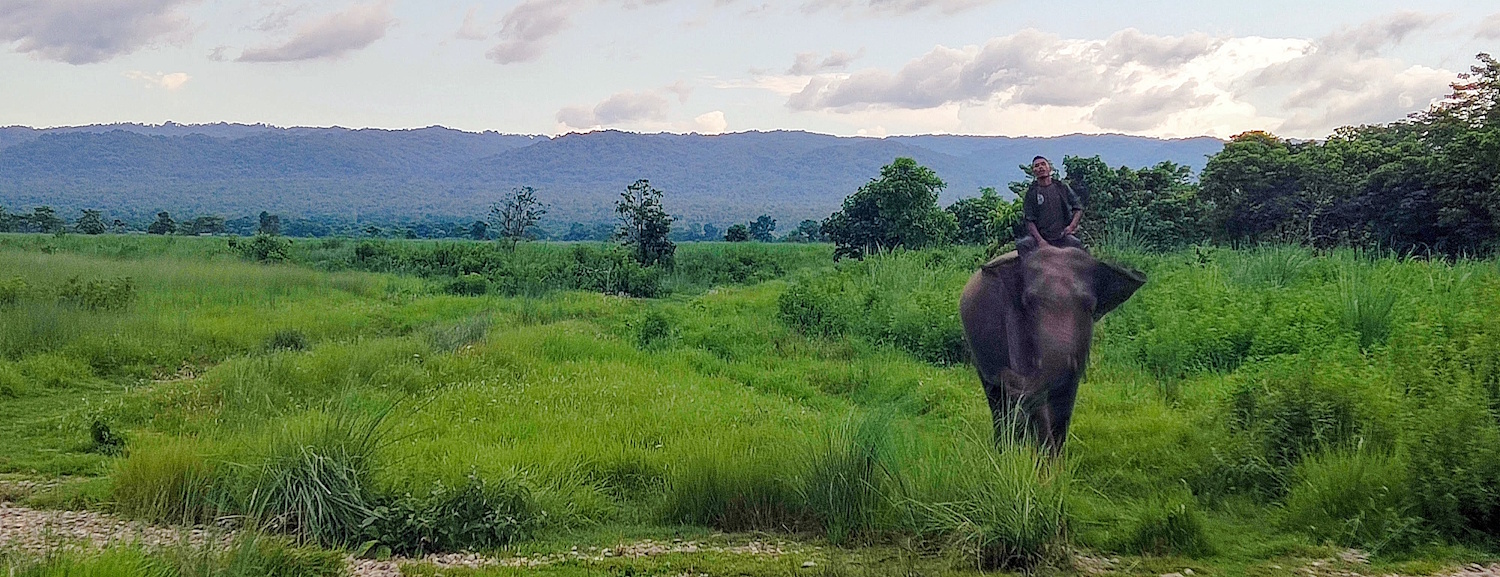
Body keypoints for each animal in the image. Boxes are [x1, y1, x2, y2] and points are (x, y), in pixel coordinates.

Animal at [959, 245, 1146, 453]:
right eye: (1028, 302)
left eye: (1090, 306)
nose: (1002, 372)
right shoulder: (1013, 318)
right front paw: (1042, 458)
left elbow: (1065, 398)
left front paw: (1055, 458)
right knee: (996, 400)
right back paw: (1004, 448)